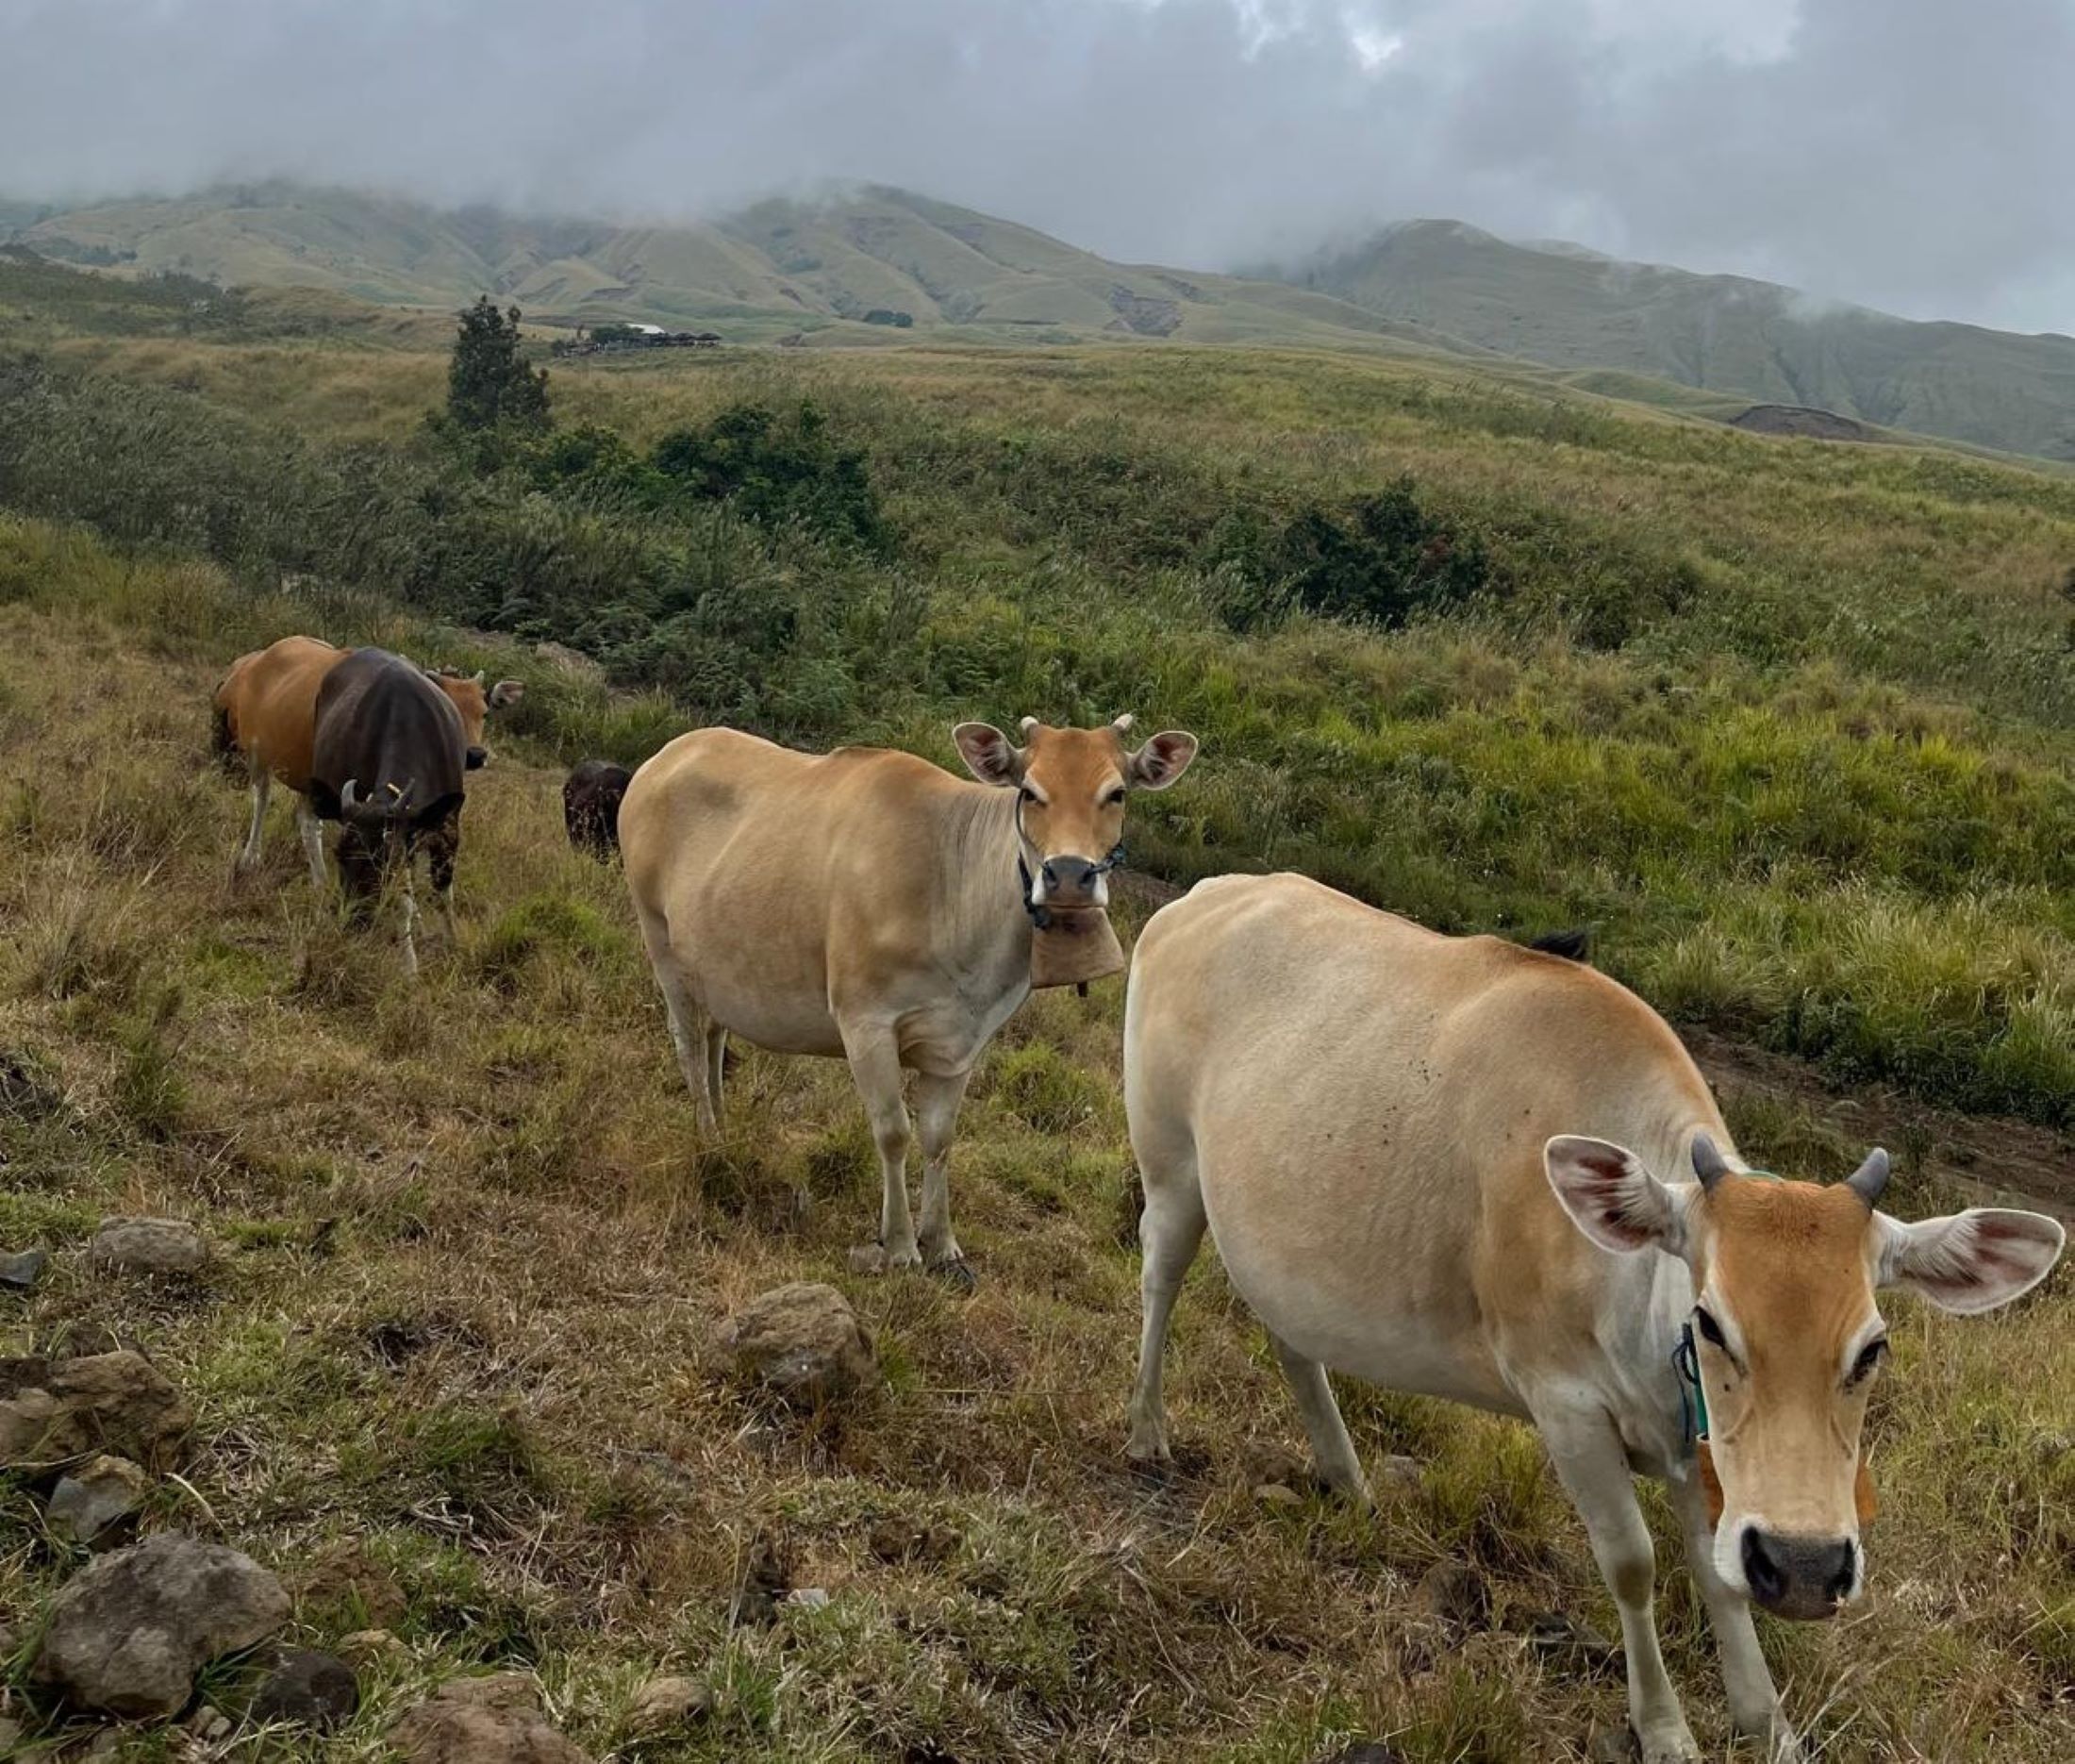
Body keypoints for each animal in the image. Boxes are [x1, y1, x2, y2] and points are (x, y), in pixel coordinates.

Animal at [212, 630, 526, 879]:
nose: (474, 754)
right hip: (257, 755)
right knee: (262, 799)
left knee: (304, 819)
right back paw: (252, 856)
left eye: (484, 713)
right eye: (451, 711)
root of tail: (253, 662)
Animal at [614, 709, 1204, 1261]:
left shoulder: (963, 1040)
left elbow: (939, 1138)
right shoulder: (865, 1020)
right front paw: (898, 1243)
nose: (1069, 876)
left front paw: (941, 1242)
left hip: (712, 963)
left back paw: (723, 1127)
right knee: (689, 1046)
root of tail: (670, 752)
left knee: (714, 1036)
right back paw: (709, 1137)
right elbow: (893, 1131)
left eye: (1117, 793)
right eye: (1029, 791)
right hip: (659, 940)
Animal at [1128, 872, 2067, 1759]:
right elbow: (1632, 1565)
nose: (1804, 1566)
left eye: (1872, 1348)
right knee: (1160, 1279)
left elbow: (1717, 1574)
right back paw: (1147, 1434)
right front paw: (1666, 1729)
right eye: (1711, 1323)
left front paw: (1769, 1726)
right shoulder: (1564, 1404)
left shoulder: (1697, 1446)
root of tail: (1212, 893)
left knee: (1290, 1336)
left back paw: (1343, 1472)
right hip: (1170, 1168)